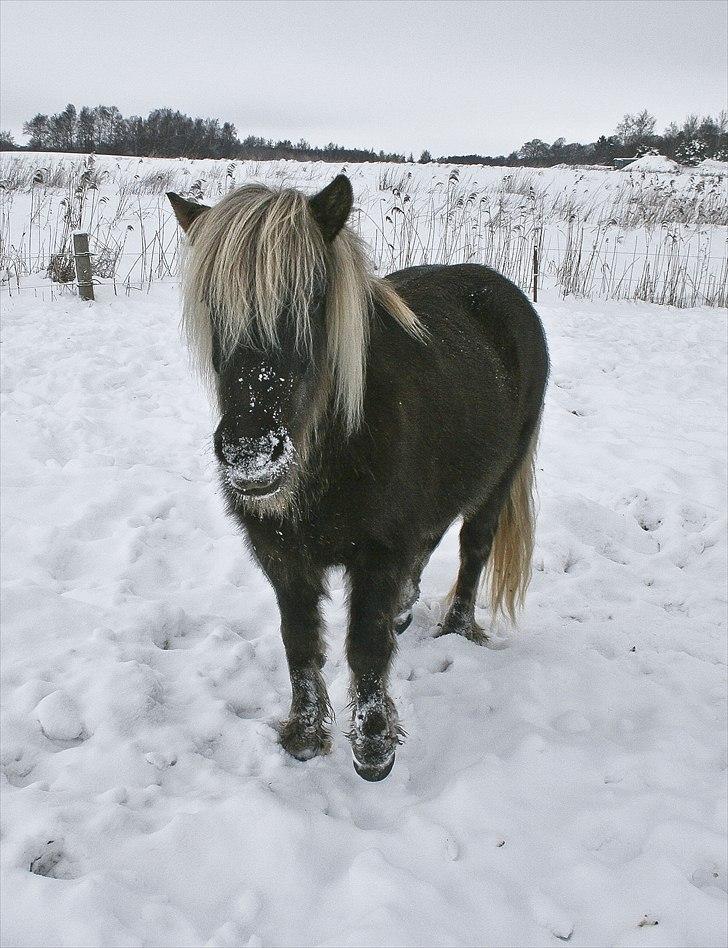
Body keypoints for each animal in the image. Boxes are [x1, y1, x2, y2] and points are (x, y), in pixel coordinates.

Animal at [169, 176, 544, 776]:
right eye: (212, 307)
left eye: (313, 301)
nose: (252, 454)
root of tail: (503, 291)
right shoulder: (283, 557)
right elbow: (300, 641)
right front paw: (305, 733)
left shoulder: (378, 554)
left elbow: (365, 646)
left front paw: (374, 745)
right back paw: (406, 610)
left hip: (497, 483)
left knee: (473, 548)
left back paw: (457, 627)